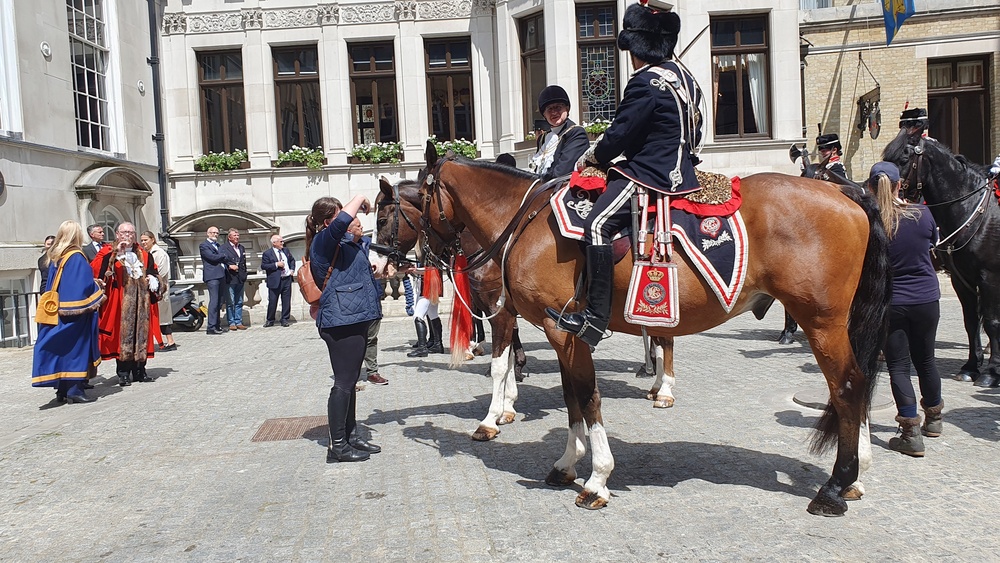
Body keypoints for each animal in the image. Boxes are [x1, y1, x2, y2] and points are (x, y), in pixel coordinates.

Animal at [414, 142, 892, 520]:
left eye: (418, 198)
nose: (421, 260)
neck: (525, 223)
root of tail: (843, 190)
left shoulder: (562, 329)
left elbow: (586, 397)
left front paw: (597, 479)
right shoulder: (557, 334)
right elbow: (571, 399)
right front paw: (568, 463)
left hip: (821, 322)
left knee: (848, 387)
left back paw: (835, 486)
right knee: (857, 384)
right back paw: (855, 475)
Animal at [884, 129, 1000, 388]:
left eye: (903, 159)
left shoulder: (989, 278)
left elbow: (991, 322)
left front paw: (991, 372)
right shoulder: (961, 279)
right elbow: (971, 322)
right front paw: (970, 367)